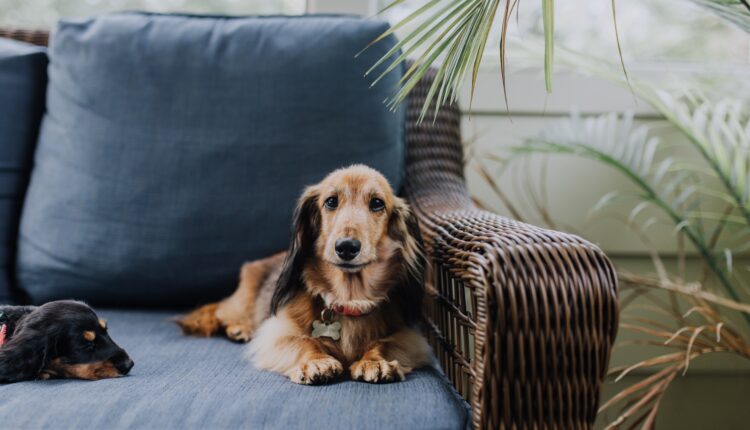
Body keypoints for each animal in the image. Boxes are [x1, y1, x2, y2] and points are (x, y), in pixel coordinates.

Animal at [178, 166, 434, 384]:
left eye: (377, 203)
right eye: (331, 201)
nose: (346, 247)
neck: (348, 299)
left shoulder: (407, 336)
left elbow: (384, 343)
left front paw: (375, 360)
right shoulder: (277, 333)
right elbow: (303, 342)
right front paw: (316, 362)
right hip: (243, 301)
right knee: (222, 311)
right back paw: (239, 328)